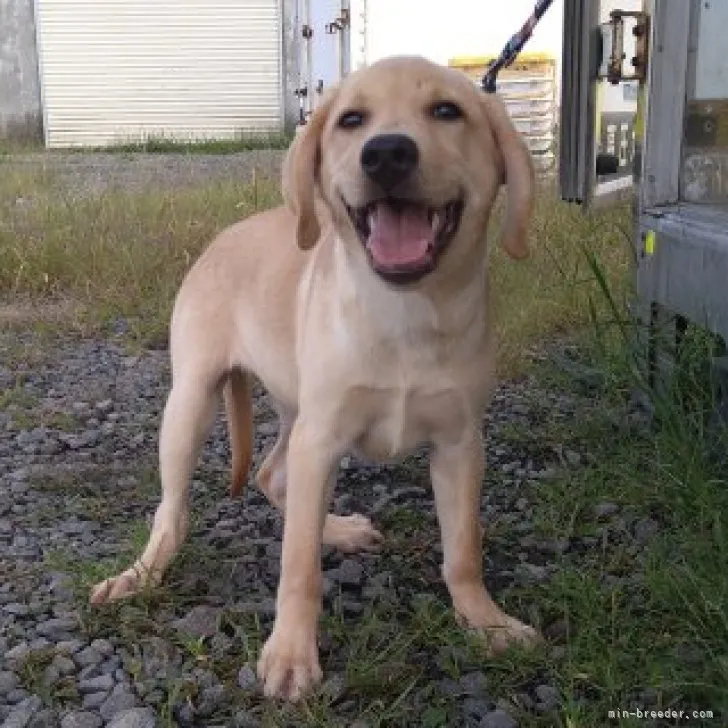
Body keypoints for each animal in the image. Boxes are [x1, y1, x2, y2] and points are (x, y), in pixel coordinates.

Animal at [89, 55, 540, 700]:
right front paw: (291, 655)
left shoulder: (459, 444)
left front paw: (486, 621)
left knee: (272, 476)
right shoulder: (323, 438)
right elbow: (297, 565)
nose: (386, 154)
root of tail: (224, 234)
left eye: (447, 111)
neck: (403, 311)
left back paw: (340, 530)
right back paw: (141, 574)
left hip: (296, 410)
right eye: (351, 120)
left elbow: (463, 551)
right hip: (194, 404)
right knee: (175, 510)